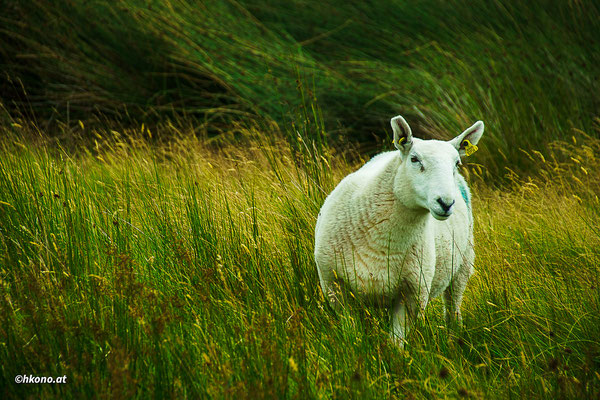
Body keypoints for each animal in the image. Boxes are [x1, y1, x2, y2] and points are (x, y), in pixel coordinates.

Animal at [314, 115, 482, 346]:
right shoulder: (334, 288)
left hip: (463, 263)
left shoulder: (412, 295)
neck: (383, 241)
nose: (446, 203)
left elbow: (396, 343)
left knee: (453, 309)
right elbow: (352, 336)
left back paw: (452, 340)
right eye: (415, 159)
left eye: (457, 163)